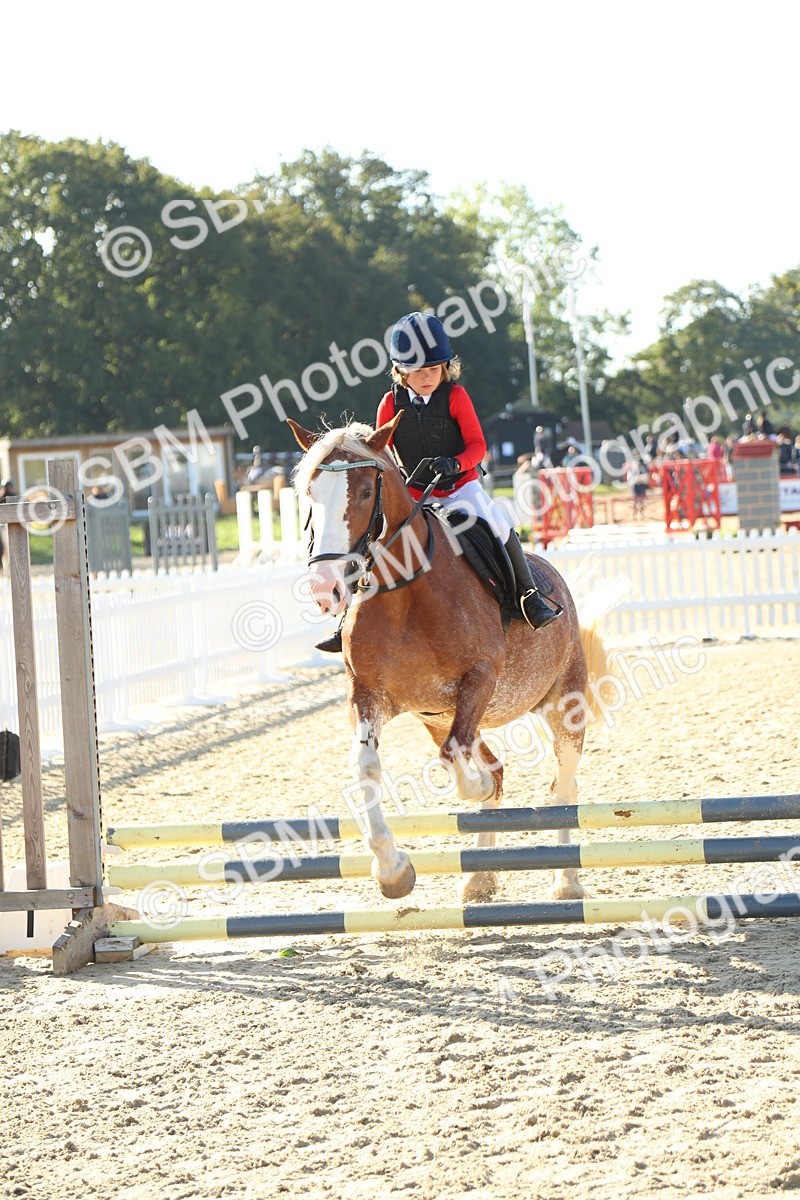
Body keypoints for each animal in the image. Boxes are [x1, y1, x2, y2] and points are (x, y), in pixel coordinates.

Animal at [289, 415, 613, 904]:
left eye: (365, 492)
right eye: (310, 493)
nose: (325, 588)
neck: (403, 592)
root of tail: (555, 574)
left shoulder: (480, 679)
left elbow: (458, 760)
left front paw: (473, 788)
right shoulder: (369, 694)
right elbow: (366, 766)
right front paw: (393, 871)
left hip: (562, 704)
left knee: (563, 784)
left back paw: (566, 880)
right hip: (440, 716)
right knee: (498, 765)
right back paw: (480, 878)